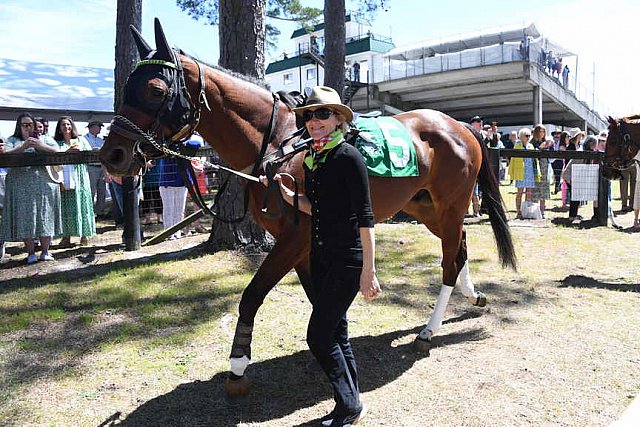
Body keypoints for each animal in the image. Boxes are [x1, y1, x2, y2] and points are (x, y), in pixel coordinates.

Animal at [101, 19, 520, 394]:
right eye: (126, 86)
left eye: (155, 89)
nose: (113, 156)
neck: (280, 145)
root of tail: (463, 127)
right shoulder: (303, 247)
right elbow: (318, 299)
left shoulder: (293, 240)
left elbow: (252, 294)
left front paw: (238, 365)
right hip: (425, 208)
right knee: (460, 247)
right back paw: (472, 296)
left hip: (450, 205)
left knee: (450, 260)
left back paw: (429, 330)